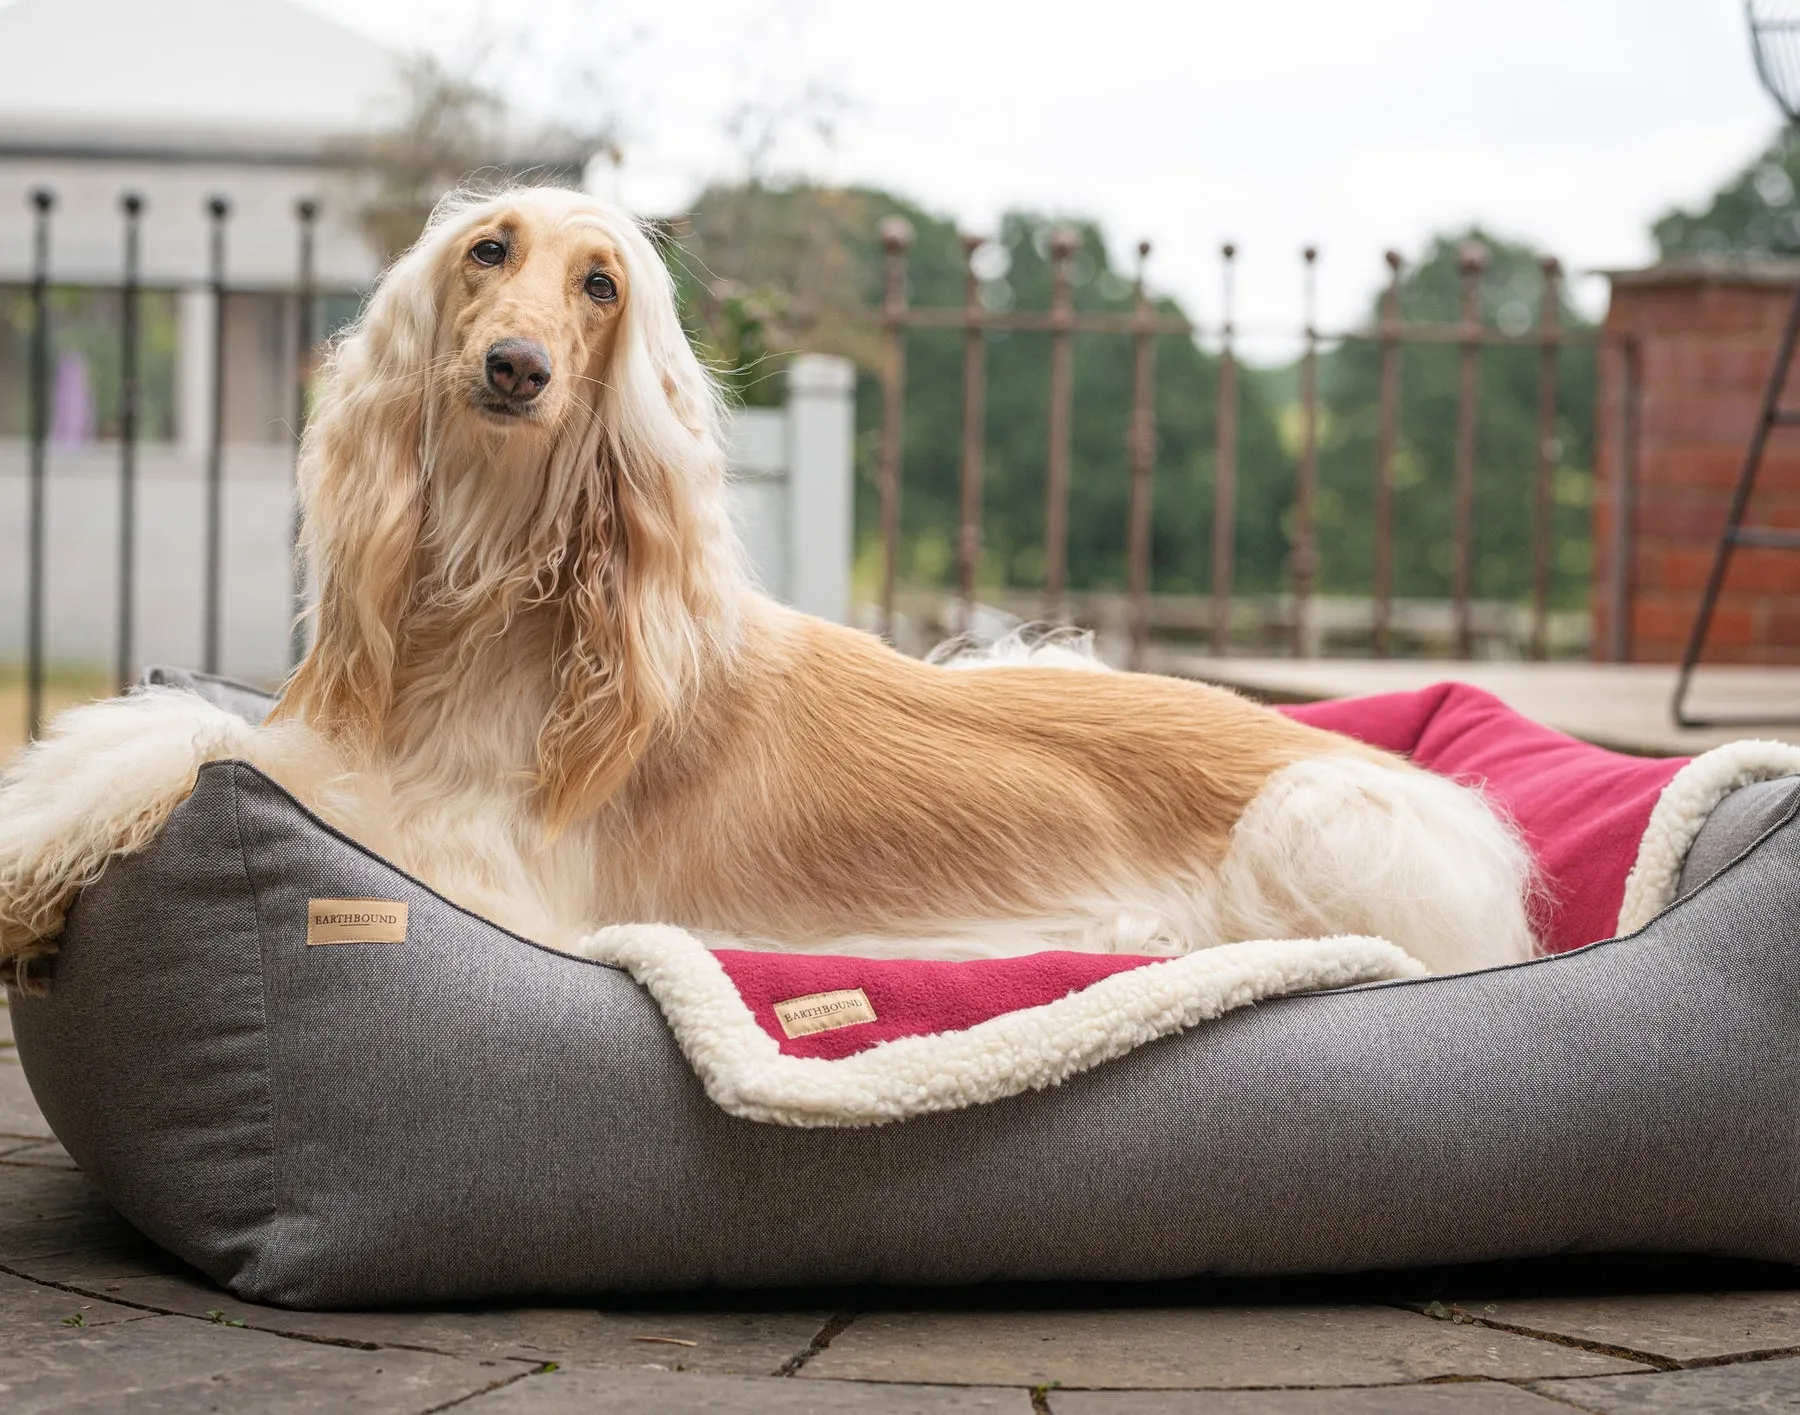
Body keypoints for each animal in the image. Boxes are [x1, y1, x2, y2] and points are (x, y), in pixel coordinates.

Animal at [0, 187, 1533, 986]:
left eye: (604, 284)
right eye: (489, 250)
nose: (516, 369)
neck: (499, 600)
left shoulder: (508, 884)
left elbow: (199, 736)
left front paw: (28, 863)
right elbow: (202, 727)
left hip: (1327, 819)